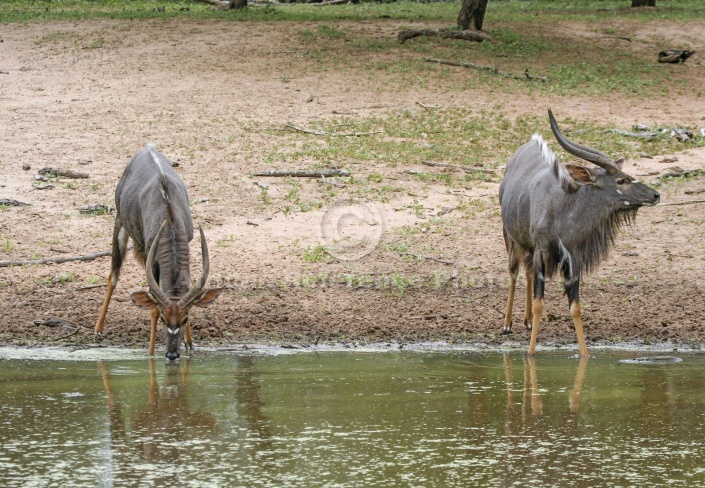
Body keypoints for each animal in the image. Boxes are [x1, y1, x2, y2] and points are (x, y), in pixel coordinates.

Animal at [95, 143, 223, 360]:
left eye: (184, 318)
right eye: (163, 318)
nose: (172, 354)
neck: (168, 214)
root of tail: (148, 148)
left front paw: (190, 344)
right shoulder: (151, 256)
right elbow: (153, 307)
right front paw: (151, 354)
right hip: (119, 224)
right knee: (113, 275)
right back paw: (98, 330)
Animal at [498, 108, 656, 356]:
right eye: (621, 180)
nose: (656, 195)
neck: (562, 207)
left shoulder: (572, 259)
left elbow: (575, 307)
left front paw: (585, 355)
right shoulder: (542, 251)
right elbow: (540, 303)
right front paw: (531, 353)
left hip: (528, 247)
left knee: (528, 272)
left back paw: (527, 321)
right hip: (511, 237)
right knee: (514, 271)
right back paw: (507, 324)